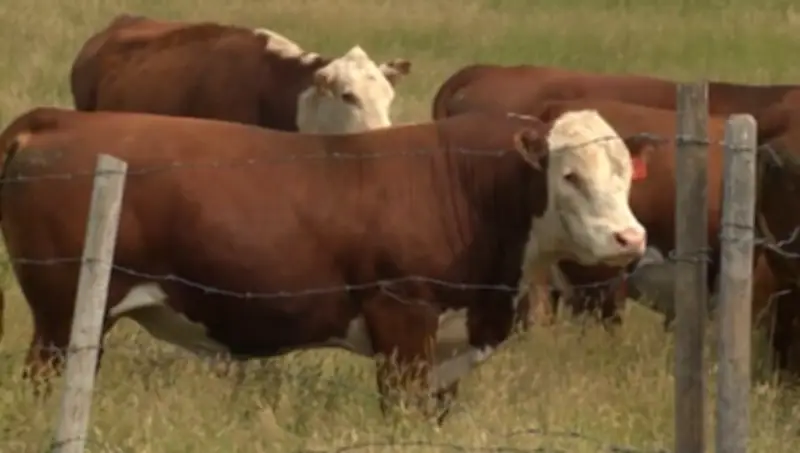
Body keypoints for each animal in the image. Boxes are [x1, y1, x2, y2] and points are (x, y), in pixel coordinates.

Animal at [0, 106, 652, 422]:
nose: (629, 237)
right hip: (62, 316)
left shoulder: (449, 344)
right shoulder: (401, 321)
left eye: (625, 174)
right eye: (569, 175)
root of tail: (58, 119)